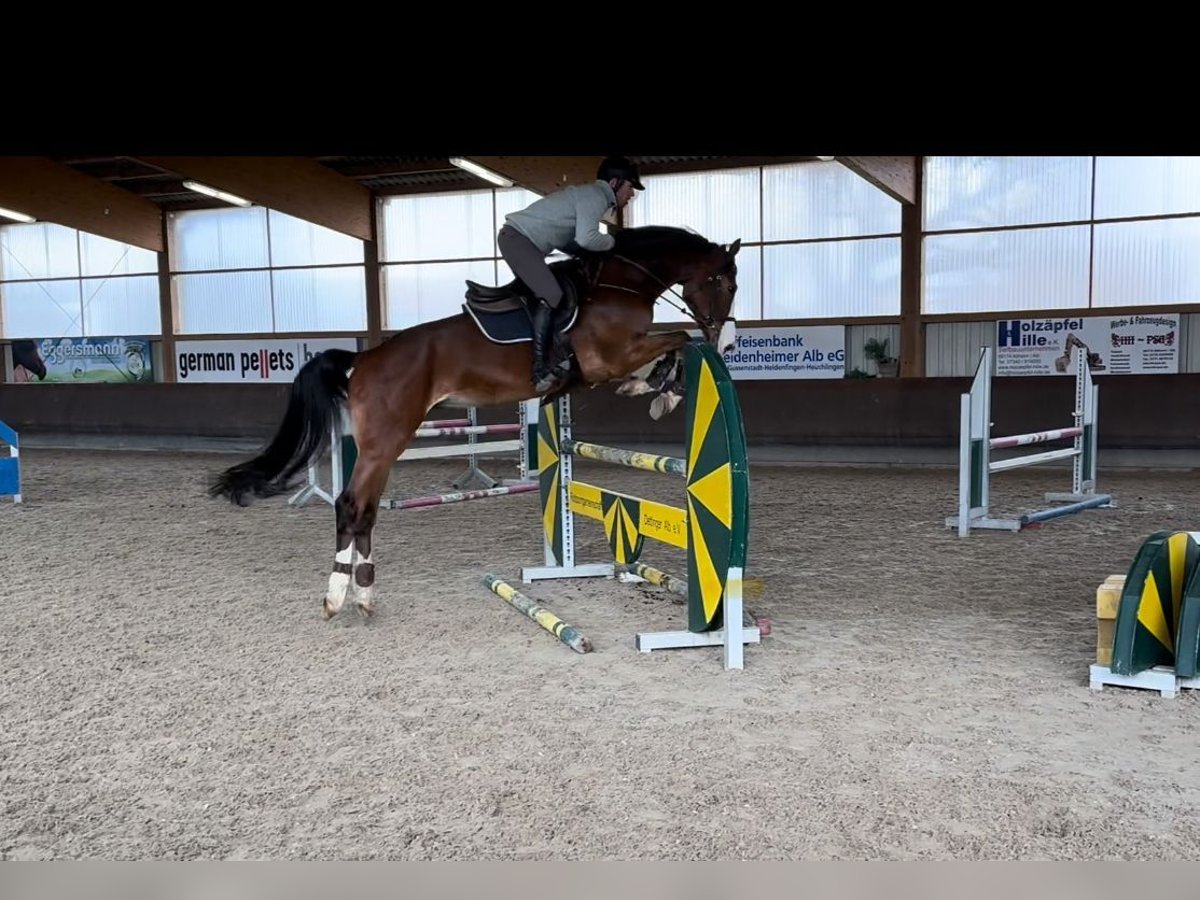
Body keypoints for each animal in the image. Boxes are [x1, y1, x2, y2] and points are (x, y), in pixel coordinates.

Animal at [211, 224, 744, 619]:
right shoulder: (607, 359)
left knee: (366, 510)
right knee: (351, 505)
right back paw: (339, 596)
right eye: (725, 283)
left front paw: (651, 388)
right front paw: (664, 391)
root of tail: (363, 360)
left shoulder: (610, 362)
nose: (728, 341)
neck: (619, 281)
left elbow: (669, 345)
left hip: (385, 444)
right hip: (386, 440)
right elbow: (677, 338)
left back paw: (363, 595)